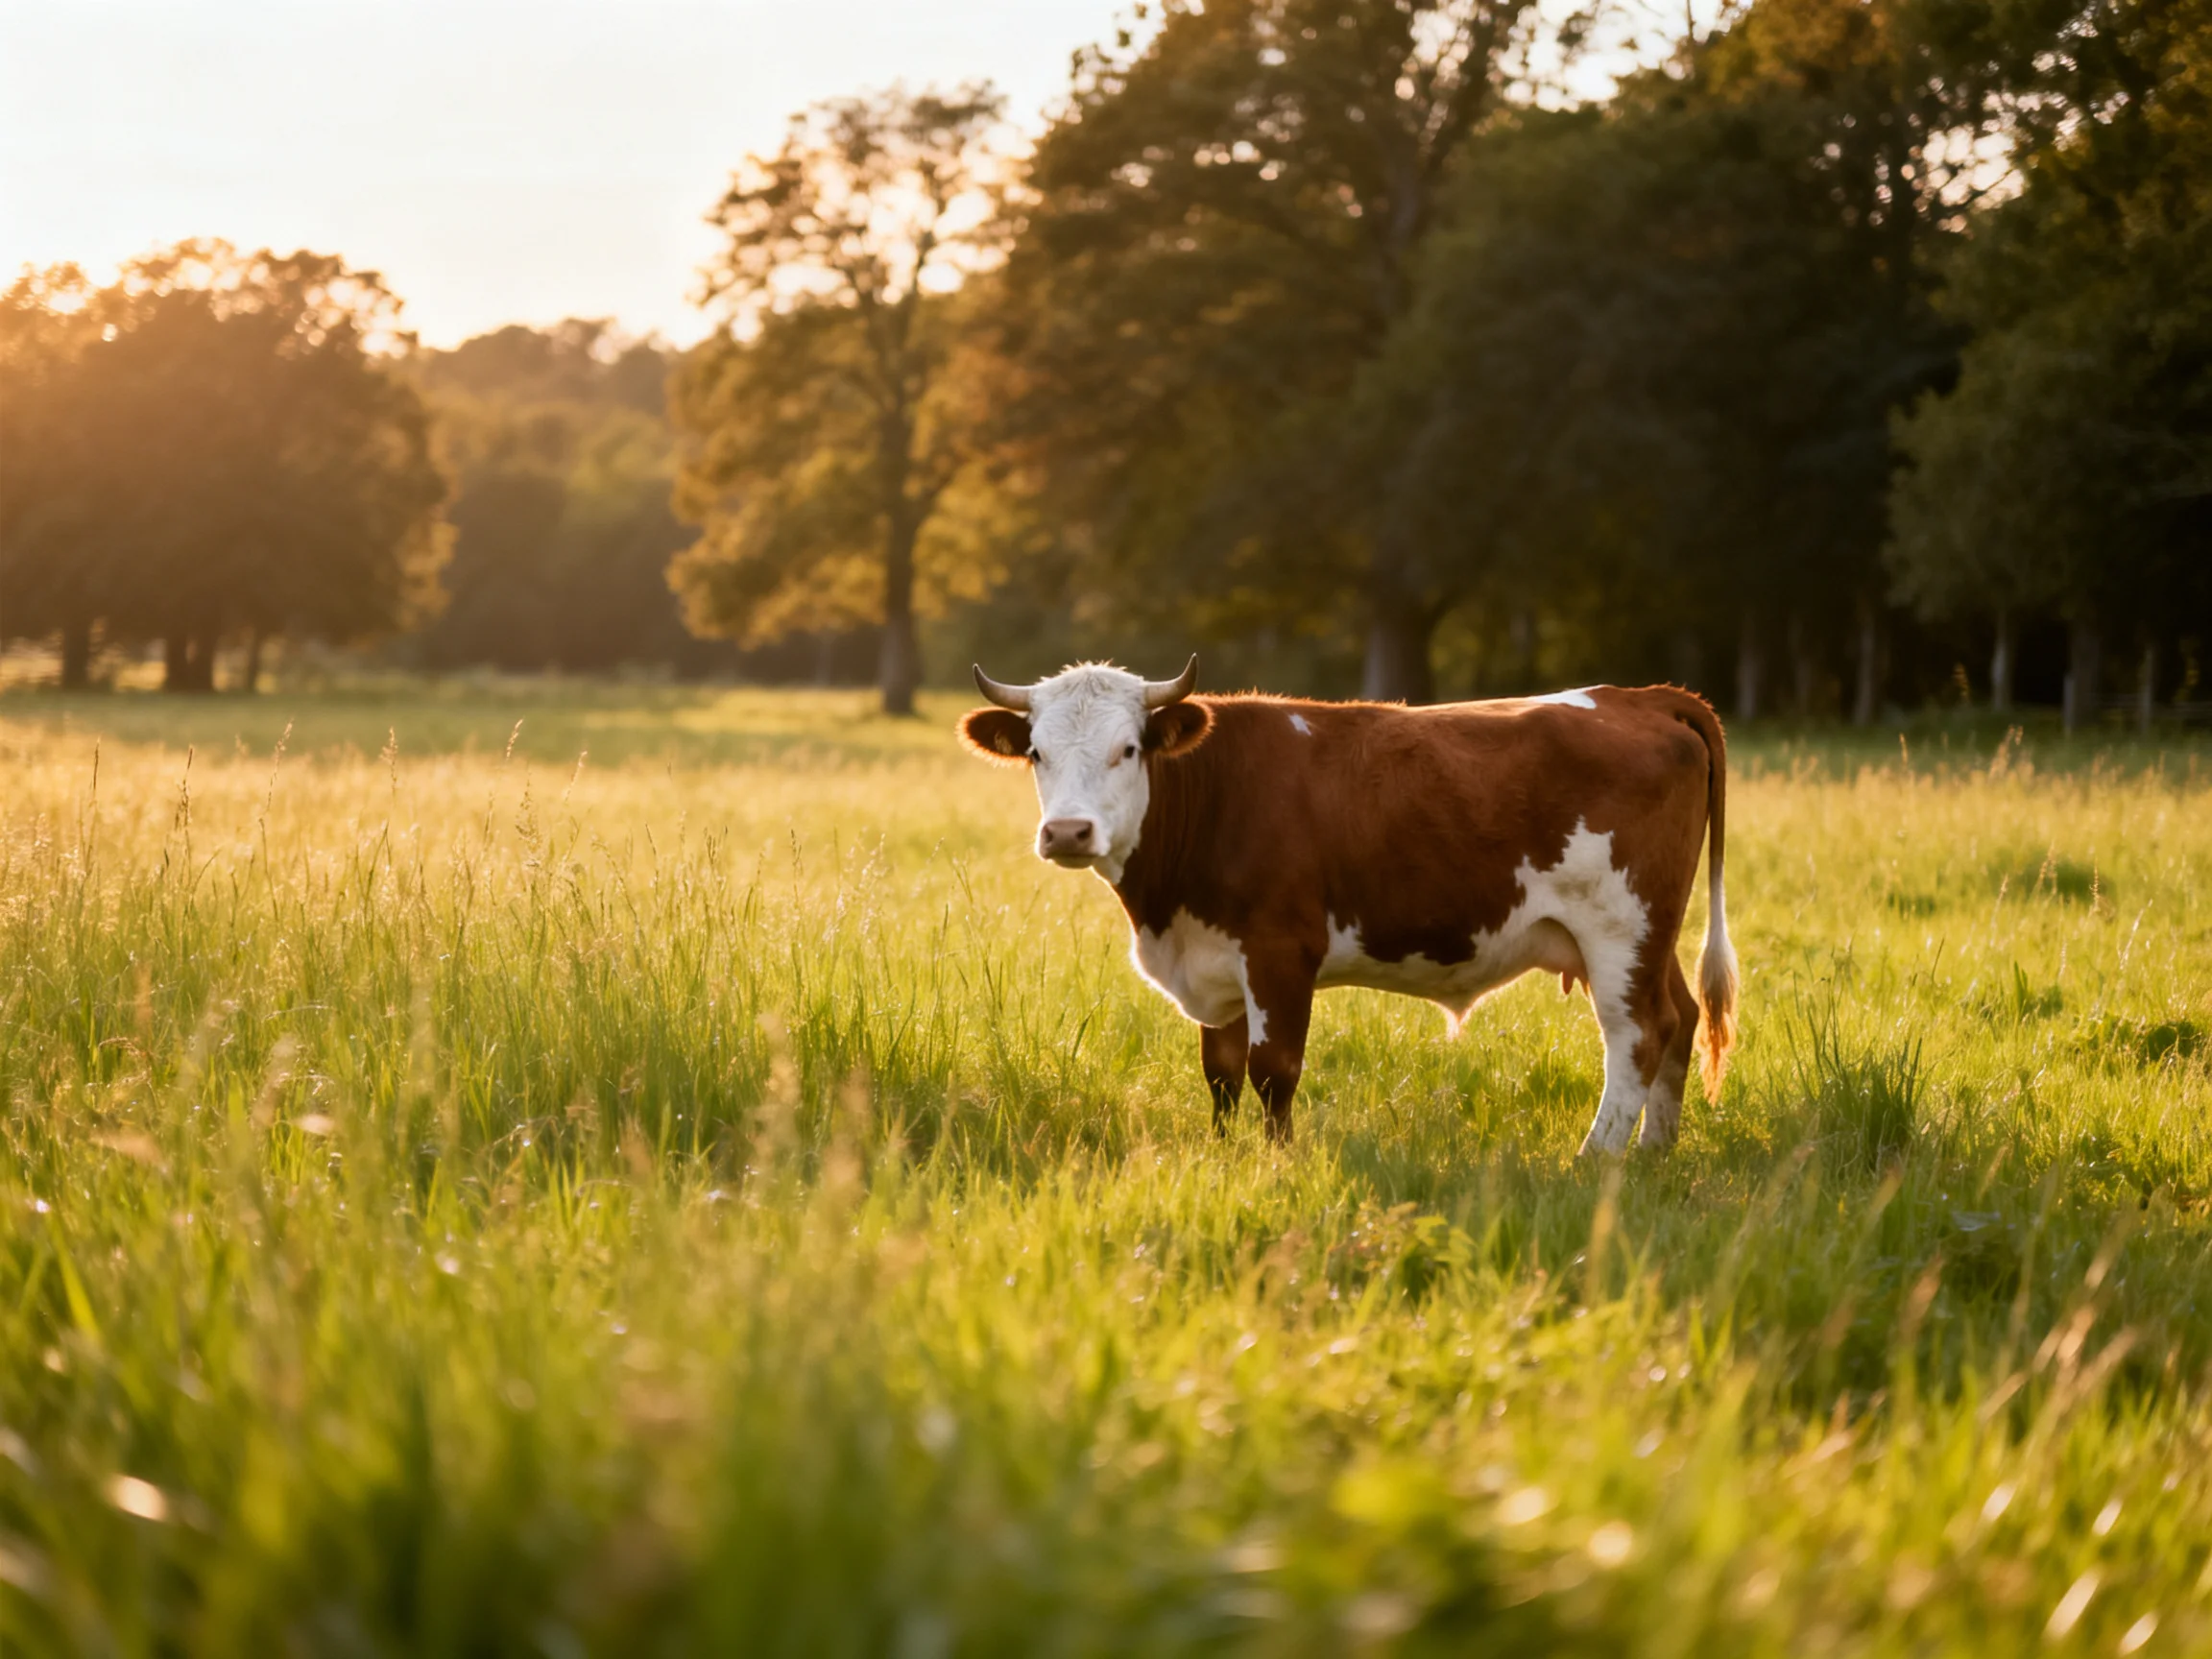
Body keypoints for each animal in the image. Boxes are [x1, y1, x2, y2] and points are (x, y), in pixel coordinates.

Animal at [956, 658, 1739, 1155]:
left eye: (1127, 749)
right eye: (1036, 753)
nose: (1068, 832)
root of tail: (1640, 696)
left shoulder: (1279, 952)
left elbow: (1274, 1070)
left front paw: (1278, 1166)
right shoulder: (1214, 961)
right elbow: (1221, 1073)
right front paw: (1224, 1159)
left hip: (1619, 927)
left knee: (1639, 1034)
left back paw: (1596, 1160)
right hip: (1652, 937)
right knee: (1680, 1020)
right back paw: (1653, 1156)